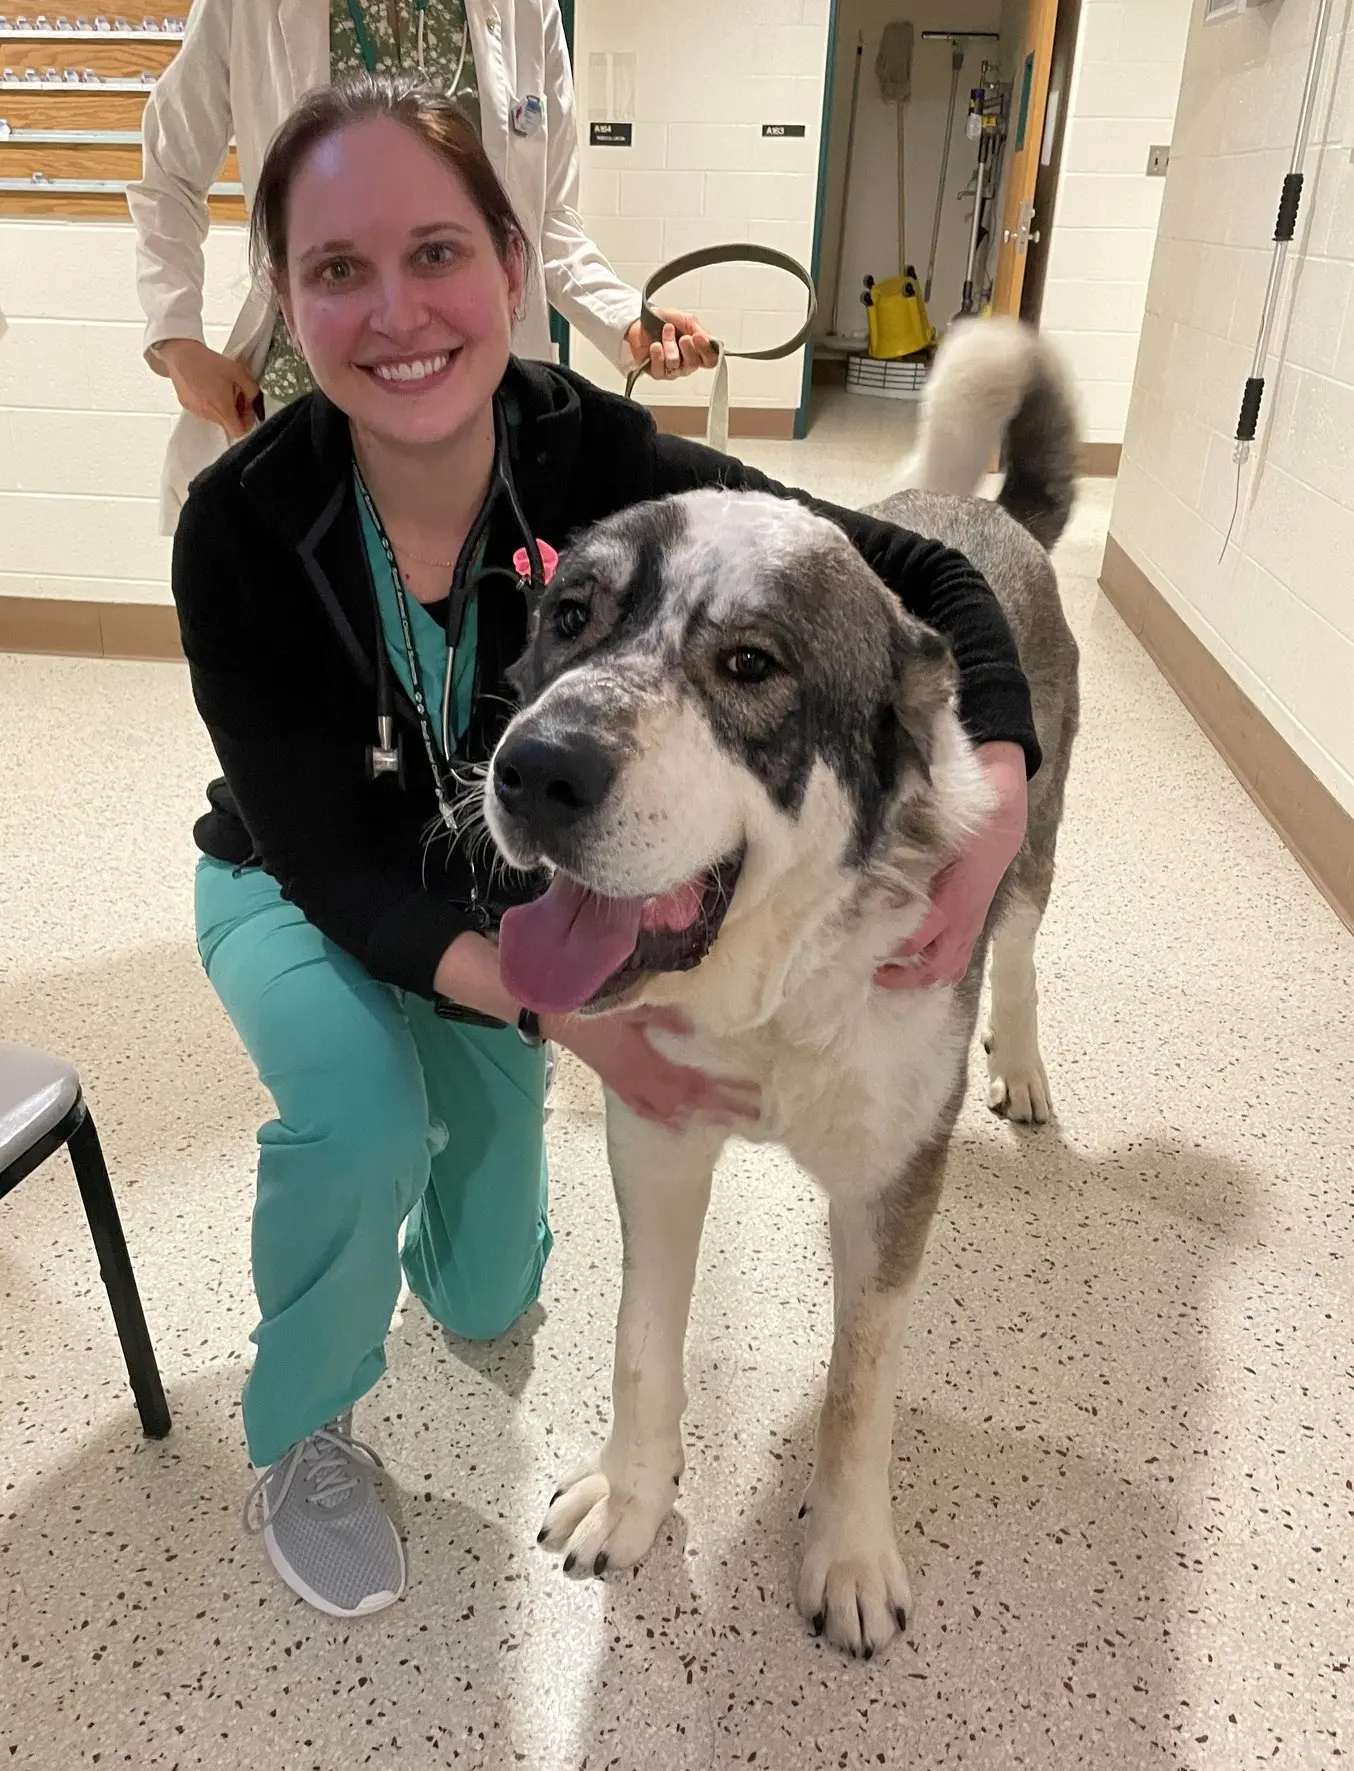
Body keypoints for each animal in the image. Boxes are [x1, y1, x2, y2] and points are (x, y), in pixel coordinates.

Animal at [484, 318, 1076, 1657]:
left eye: (749, 664)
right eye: (568, 614)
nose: (532, 769)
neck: (769, 991)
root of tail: (982, 510)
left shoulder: (894, 1180)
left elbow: (860, 1386)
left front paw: (847, 1554)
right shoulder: (655, 1140)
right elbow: (641, 1343)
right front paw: (632, 1496)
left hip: (1030, 863)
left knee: (1017, 953)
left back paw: (1019, 1064)